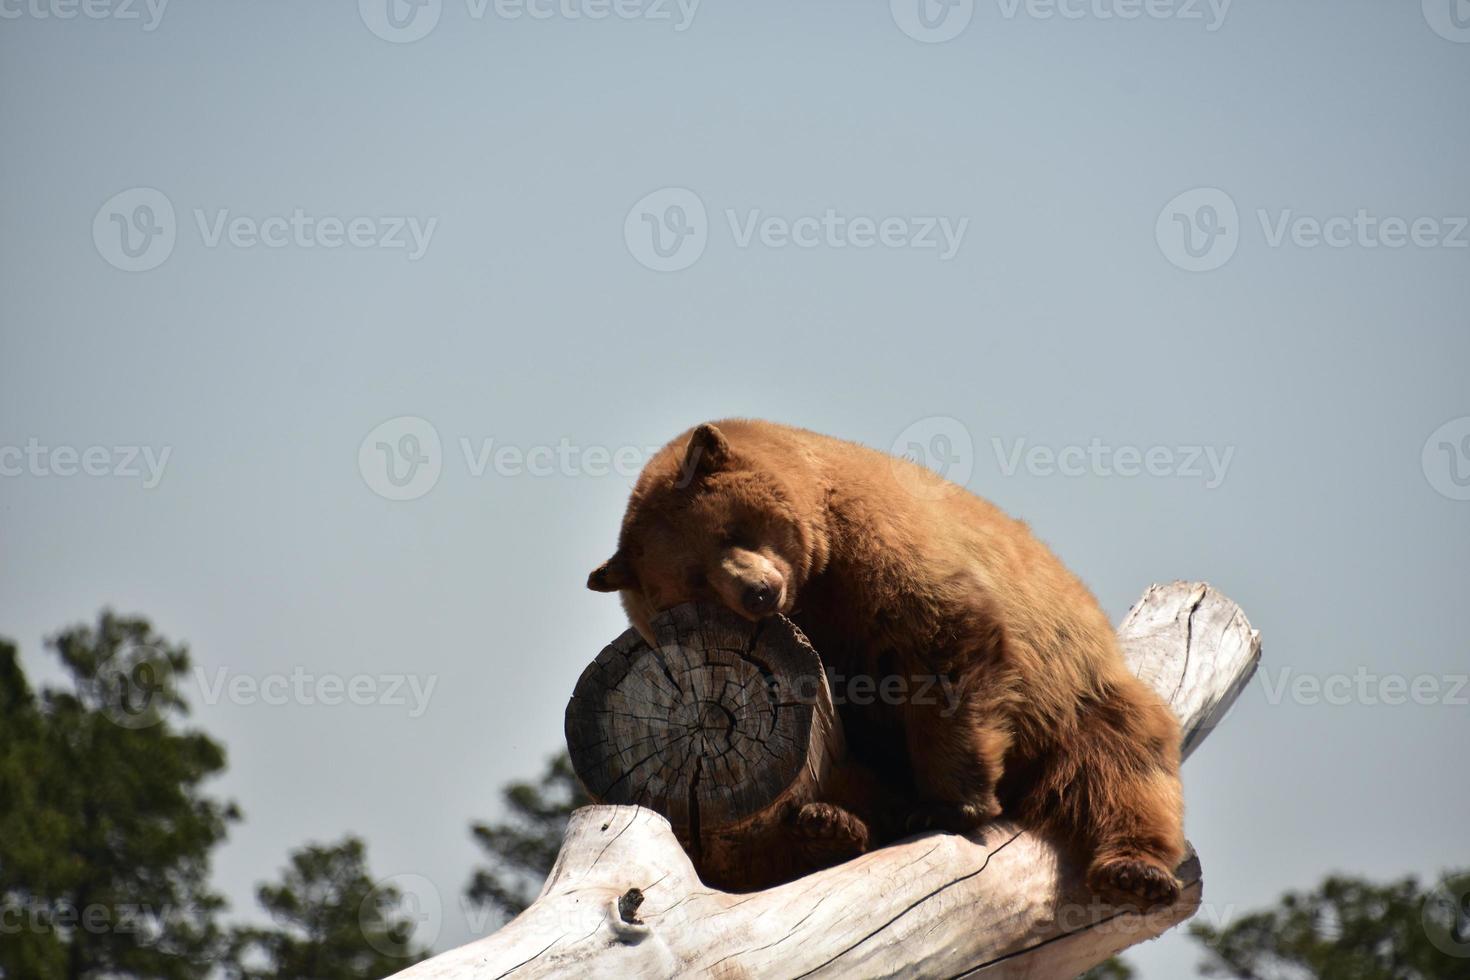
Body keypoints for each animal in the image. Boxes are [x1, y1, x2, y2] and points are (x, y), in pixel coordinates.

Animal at [585, 417, 1181, 910]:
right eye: (696, 579)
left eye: (731, 531)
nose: (759, 592)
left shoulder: (875, 550)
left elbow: (945, 641)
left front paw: (950, 805)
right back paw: (830, 826)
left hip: (1074, 692)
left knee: (1119, 764)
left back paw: (1136, 870)